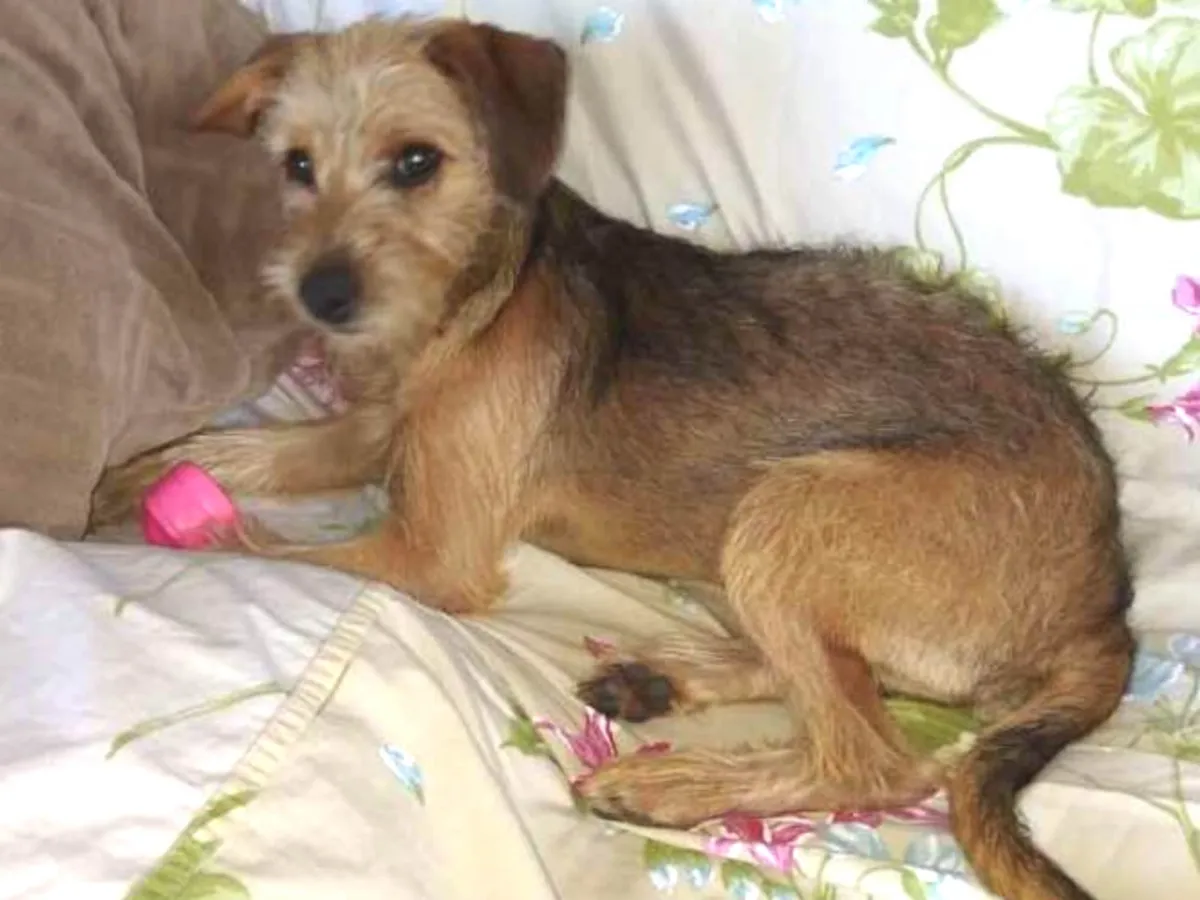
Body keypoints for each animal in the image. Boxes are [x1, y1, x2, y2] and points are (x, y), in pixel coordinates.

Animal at [91, 18, 1133, 900]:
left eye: (417, 161)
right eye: (297, 165)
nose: (322, 293)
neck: (471, 301)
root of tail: (1106, 607)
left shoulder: (429, 555)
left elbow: (245, 547)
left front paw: (138, 537)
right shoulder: (372, 432)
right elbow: (236, 449)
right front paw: (125, 482)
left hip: (789, 509)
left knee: (874, 756)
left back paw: (675, 786)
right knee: (841, 683)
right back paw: (663, 680)